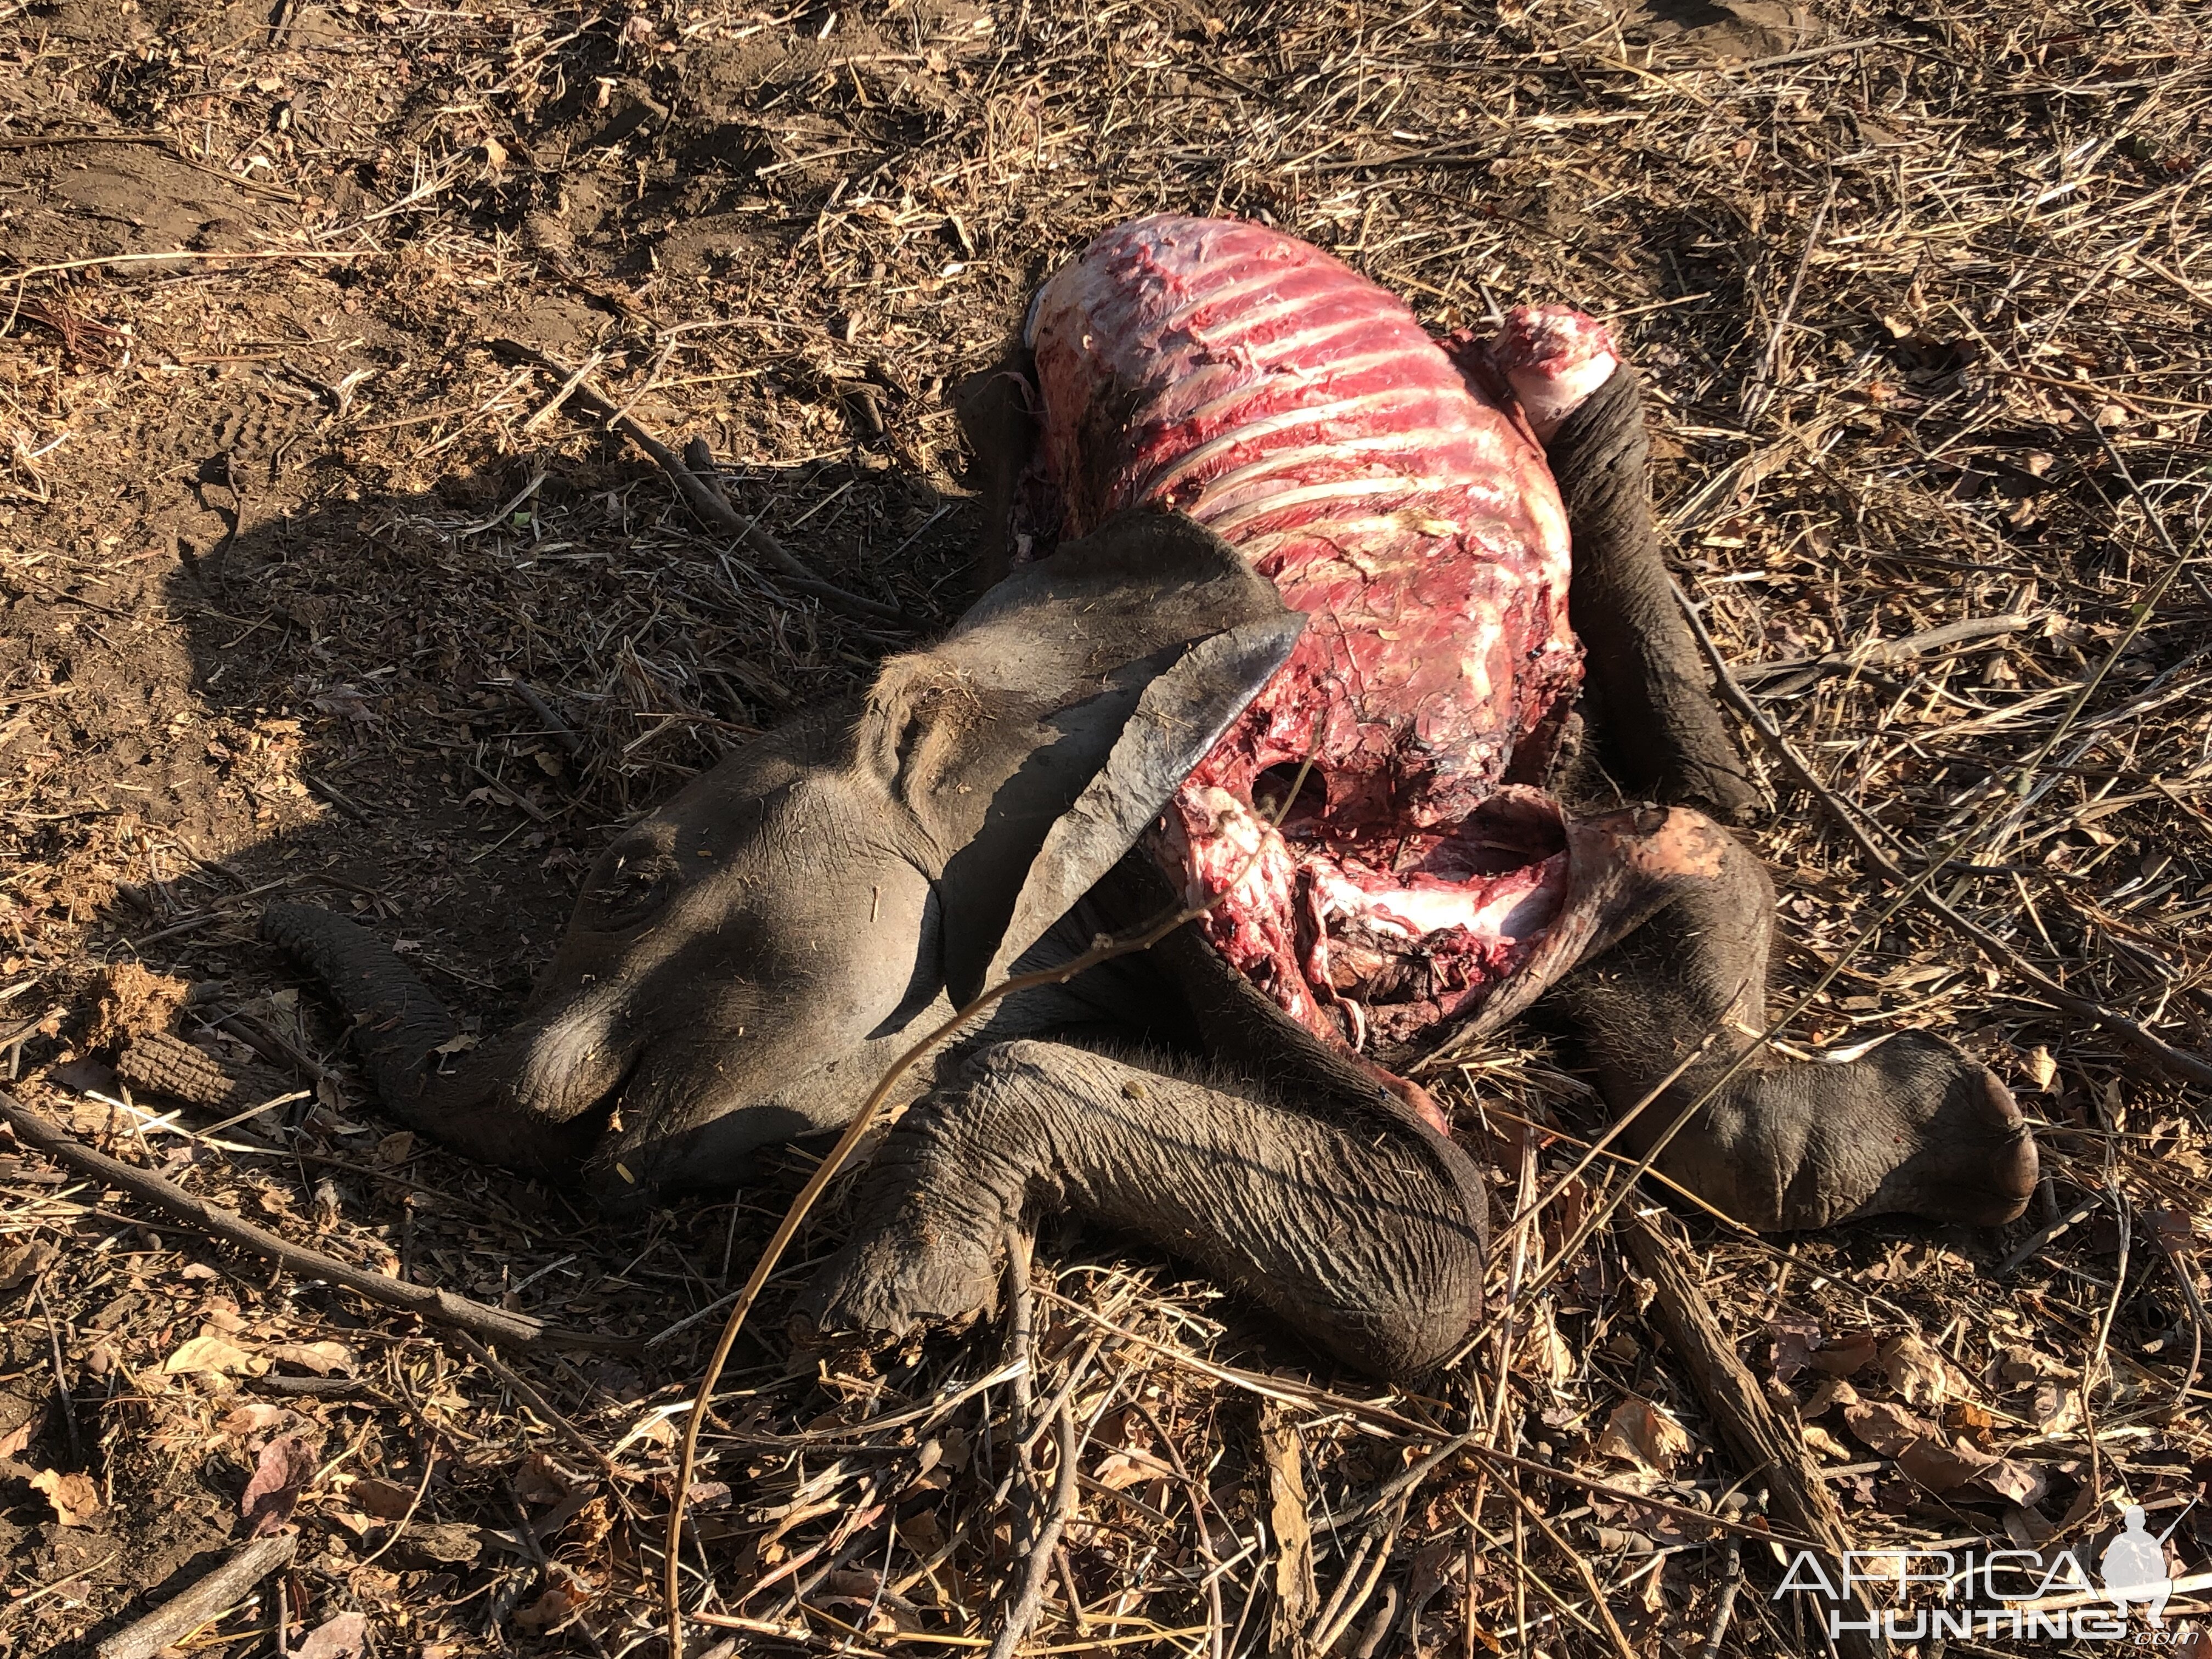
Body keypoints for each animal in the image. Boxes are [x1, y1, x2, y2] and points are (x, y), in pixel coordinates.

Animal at [272, 218, 2035, 1380]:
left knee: (1691, 818)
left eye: (632, 866)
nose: (270, 938)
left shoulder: (1193, 855)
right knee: (1697, 883)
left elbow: (1435, 1263)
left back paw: (1564, 368)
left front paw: (877, 1318)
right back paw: (1977, 1155)